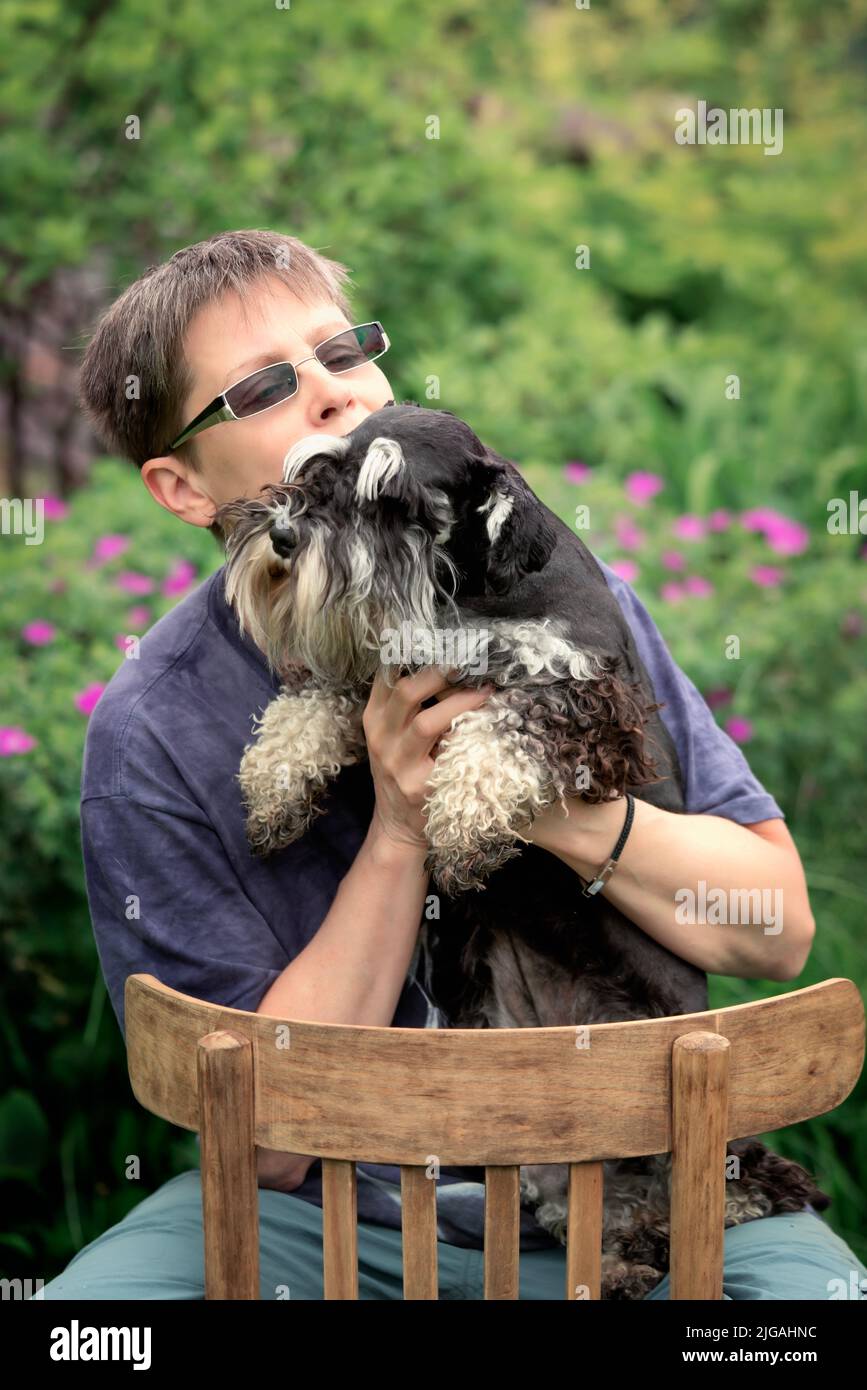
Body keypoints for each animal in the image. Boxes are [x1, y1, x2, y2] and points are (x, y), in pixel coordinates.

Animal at [216, 403, 828, 1301]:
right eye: (318, 468)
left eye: (390, 500)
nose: (284, 536)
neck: (469, 592)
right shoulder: (381, 664)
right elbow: (312, 701)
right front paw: (276, 783)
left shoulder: (581, 699)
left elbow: (496, 731)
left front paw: (464, 825)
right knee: (594, 1204)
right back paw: (615, 1264)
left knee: (710, 1188)